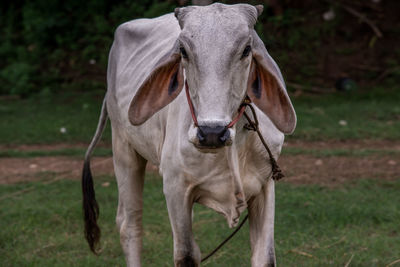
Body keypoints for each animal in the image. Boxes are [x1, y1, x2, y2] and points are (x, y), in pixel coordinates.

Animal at [82, 2, 294, 267]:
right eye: (183, 50)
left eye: (247, 49)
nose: (212, 132)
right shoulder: (175, 187)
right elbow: (186, 255)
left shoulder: (265, 185)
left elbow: (265, 257)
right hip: (123, 146)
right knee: (129, 224)